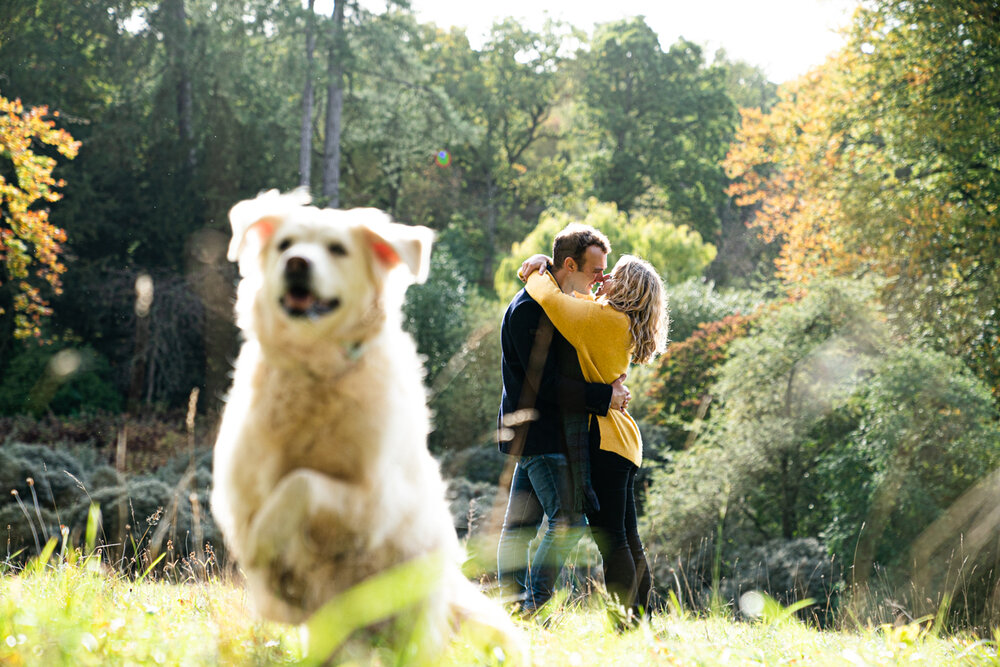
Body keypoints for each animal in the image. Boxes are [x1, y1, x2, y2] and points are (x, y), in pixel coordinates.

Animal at [212, 189, 524, 664]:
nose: (296, 264)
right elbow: (260, 523)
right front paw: (269, 578)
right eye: (285, 244)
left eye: (337, 249)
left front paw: (266, 548)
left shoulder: (372, 501)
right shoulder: (239, 483)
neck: (316, 372)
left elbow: (299, 485)